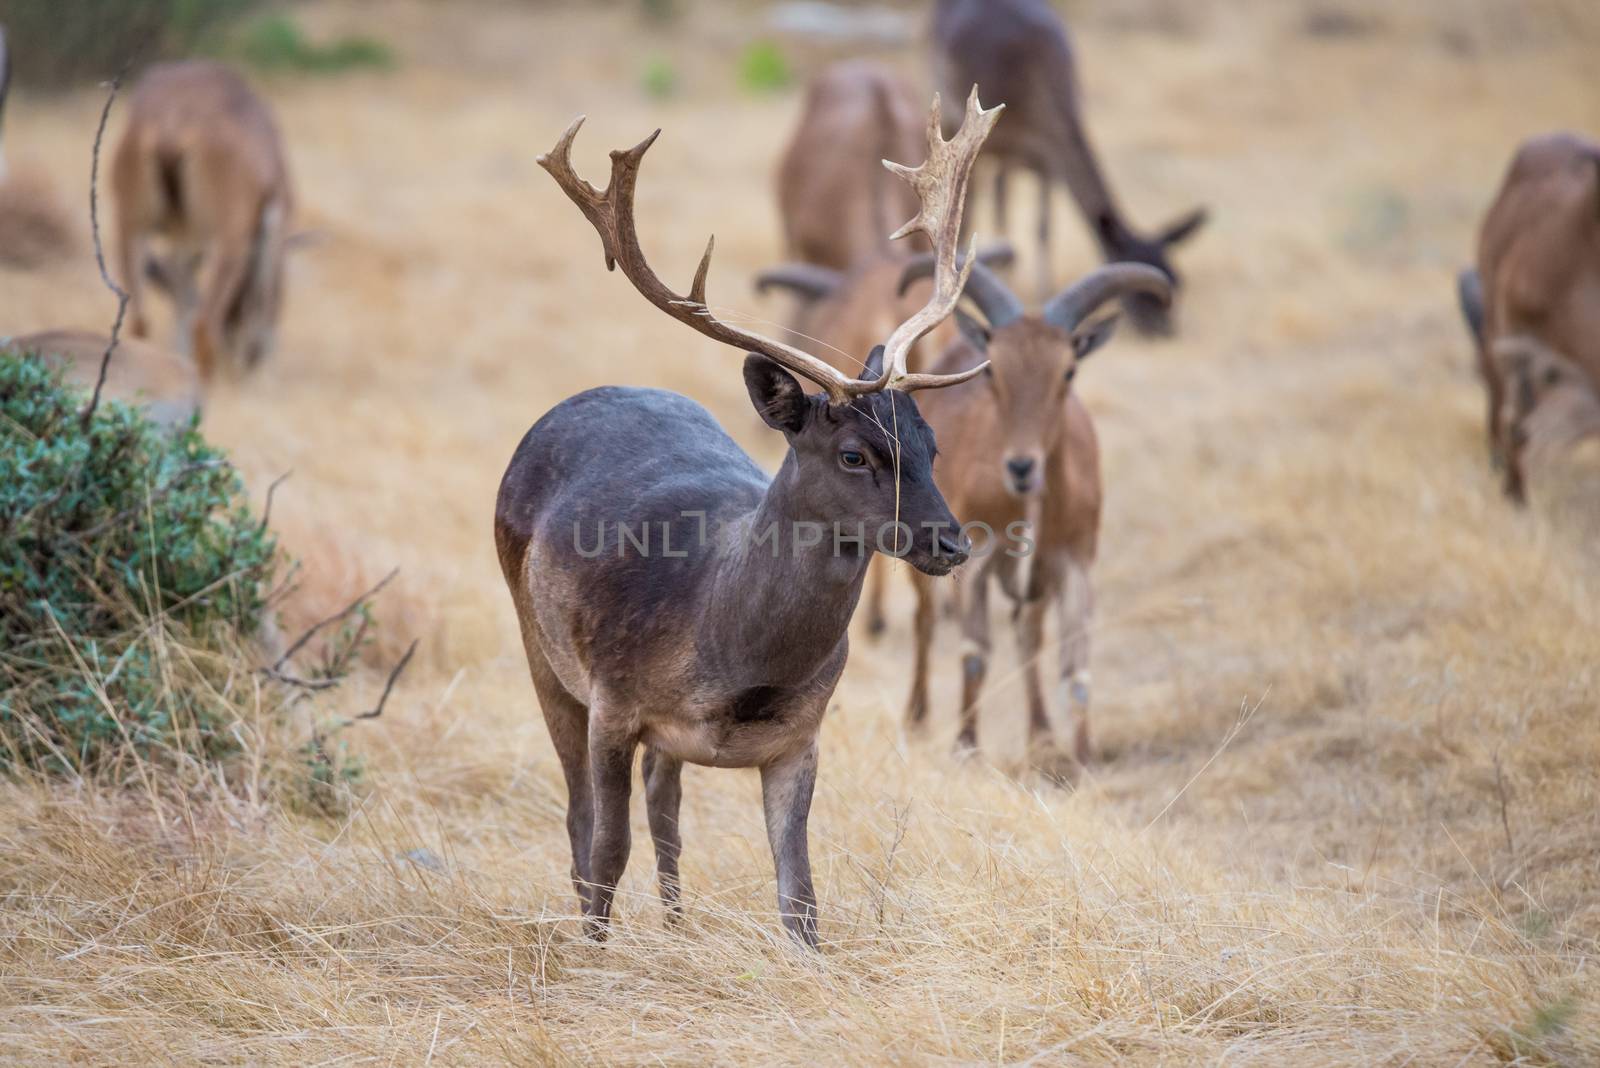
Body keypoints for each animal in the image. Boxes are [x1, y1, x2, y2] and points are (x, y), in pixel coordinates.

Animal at [111, 60, 292, 382]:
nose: (250, 359)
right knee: (204, 323)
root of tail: (173, 123)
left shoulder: (181, 244)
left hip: (130, 226)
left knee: (140, 321)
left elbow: (183, 299)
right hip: (227, 243)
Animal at [499, 89, 998, 940]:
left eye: (931, 441)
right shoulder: (613, 702)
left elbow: (799, 894)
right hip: (539, 643)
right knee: (580, 819)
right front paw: (593, 954)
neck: (729, 649)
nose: (950, 541)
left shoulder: (801, 737)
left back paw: (675, 925)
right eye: (854, 454)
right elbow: (604, 850)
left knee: (666, 804)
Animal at [896, 254, 1171, 764]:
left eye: (1068, 372)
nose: (1022, 466)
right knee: (924, 619)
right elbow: (975, 651)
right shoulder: (975, 555)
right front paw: (966, 746)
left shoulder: (1073, 561)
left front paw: (1081, 756)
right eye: (993, 372)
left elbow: (1073, 666)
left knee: (1028, 634)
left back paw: (1041, 733)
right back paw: (918, 718)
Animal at [934, 0, 1203, 330]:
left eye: (1178, 279)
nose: (1165, 331)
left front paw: (1044, 291)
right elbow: (977, 210)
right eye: (1138, 295)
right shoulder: (997, 145)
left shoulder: (1047, 163)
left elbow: (1043, 227)